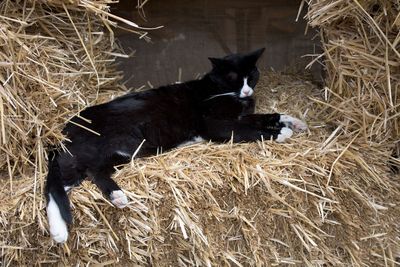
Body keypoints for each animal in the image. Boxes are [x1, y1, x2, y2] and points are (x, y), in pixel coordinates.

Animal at [46, 47, 306, 244]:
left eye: (251, 76)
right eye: (233, 78)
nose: (247, 90)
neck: (221, 91)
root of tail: (62, 132)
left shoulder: (242, 115)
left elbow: (265, 116)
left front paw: (294, 122)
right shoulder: (215, 125)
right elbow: (248, 129)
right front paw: (281, 133)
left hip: (119, 154)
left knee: (69, 181)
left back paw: (66, 225)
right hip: (114, 146)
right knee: (75, 176)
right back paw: (107, 202)